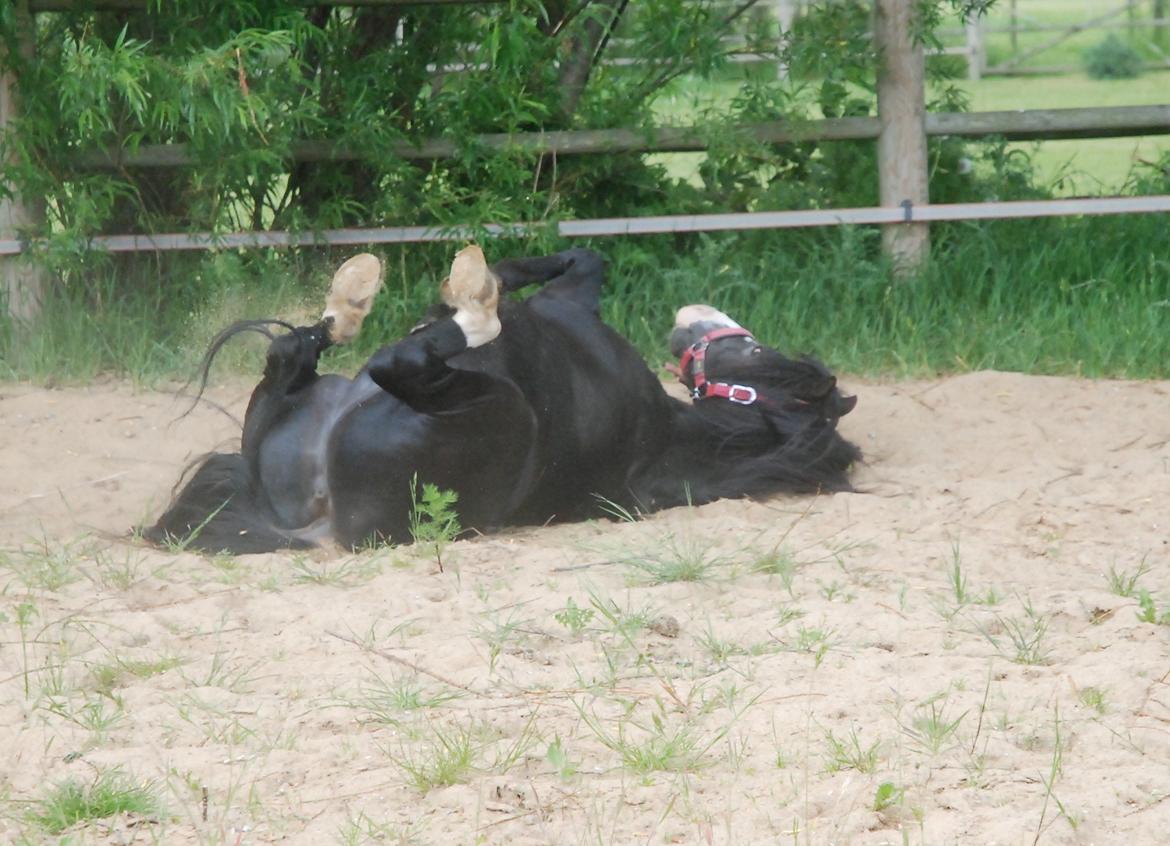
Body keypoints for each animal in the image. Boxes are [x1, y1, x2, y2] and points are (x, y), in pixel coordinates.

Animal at [143, 246, 861, 556]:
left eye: (756, 350)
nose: (700, 314)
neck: (663, 437)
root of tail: (318, 519)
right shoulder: (572, 293)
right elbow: (575, 257)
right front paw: (472, 275)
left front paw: (471, 295)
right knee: (294, 354)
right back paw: (355, 294)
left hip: (492, 410)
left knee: (393, 362)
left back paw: (446, 317)